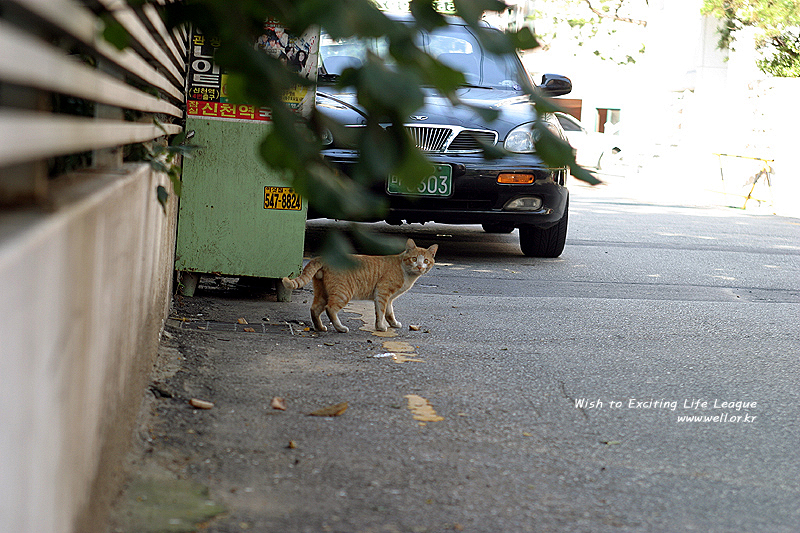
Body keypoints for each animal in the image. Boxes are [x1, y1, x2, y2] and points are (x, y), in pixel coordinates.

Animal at [282, 238, 438, 330]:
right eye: (414, 259)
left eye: (425, 261)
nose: (420, 267)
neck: (406, 272)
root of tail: (324, 257)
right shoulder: (382, 292)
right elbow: (381, 312)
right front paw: (380, 327)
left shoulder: (389, 298)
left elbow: (389, 313)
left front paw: (393, 324)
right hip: (343, 293)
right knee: (330, 309)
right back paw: (340, 328)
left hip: (323, 293)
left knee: (314, 309)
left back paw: (320, 328)